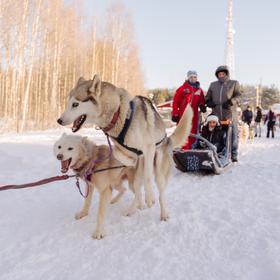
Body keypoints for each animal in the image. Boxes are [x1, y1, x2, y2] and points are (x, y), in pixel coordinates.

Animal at [57, 75, 192, 220]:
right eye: (68, 103)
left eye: (75, 104)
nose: (59, 120)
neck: (118, 114)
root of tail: (167, 138)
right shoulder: (122, 149)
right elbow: (118, 154)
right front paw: (130, 161)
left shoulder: (149, 148)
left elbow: (148, 177)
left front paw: (150, 197)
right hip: (137, 177)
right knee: (137, 190)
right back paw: (134, 208)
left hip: (160, 172)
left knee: (159, 192)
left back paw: (162, 213)